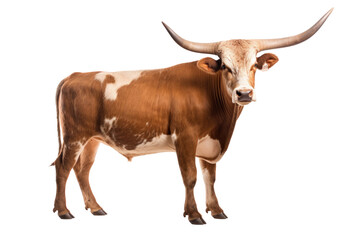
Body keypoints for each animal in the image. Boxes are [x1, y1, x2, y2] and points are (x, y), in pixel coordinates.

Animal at [52, 8, 334, 223]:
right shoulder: (184, 138)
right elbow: (190, 177)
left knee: (83, 170)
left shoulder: (210, 142)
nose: (244, 93)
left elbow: (210, 175)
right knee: (64, 167)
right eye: (225, 67)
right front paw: (194, 214)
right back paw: (64, 211)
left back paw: (96, 207)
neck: (223, 122)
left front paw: (217, 210)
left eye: (254, 65)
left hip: (92, 140)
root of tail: (75, 75)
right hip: (75, 136)